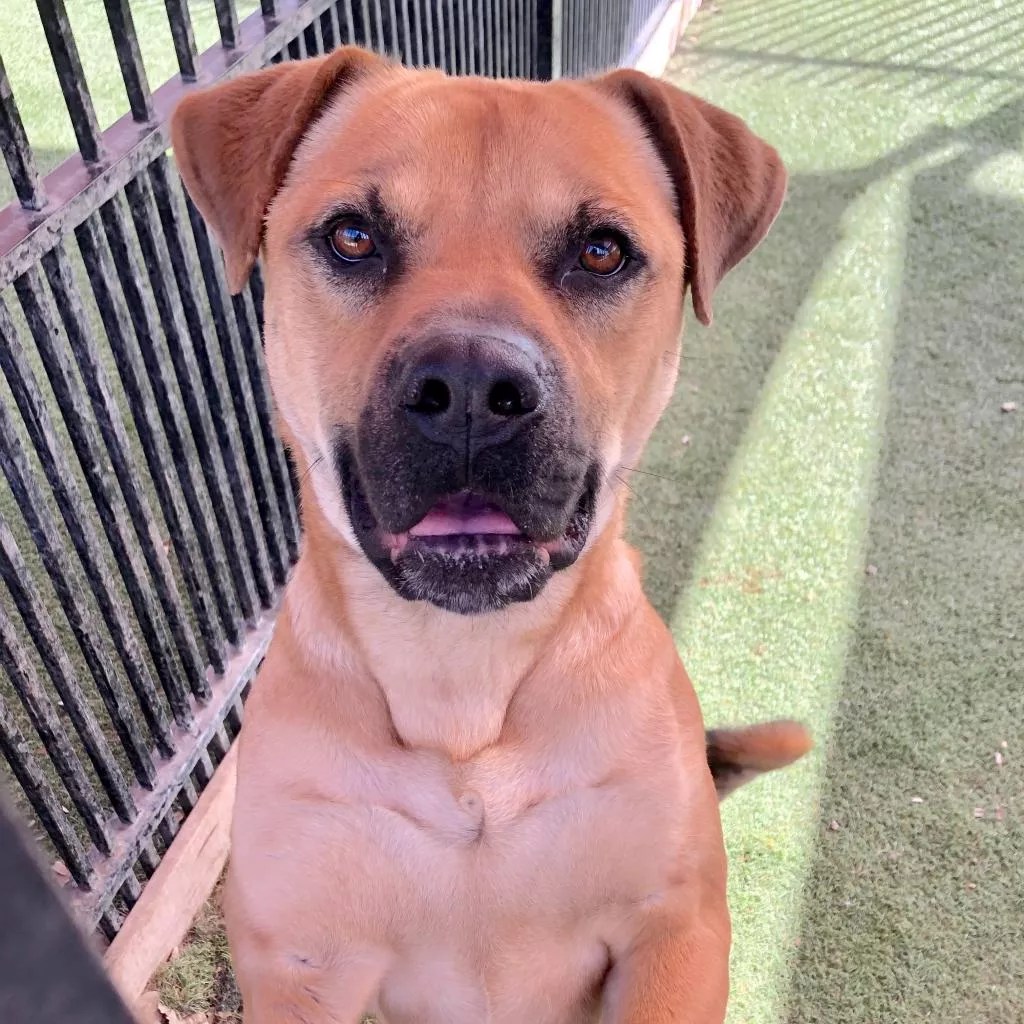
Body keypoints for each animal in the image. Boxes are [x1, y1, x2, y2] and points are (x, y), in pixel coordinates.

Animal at [171, 46, 810, 1024]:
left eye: (601, 251)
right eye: (352, 236)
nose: (470, 389)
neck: (463, 685)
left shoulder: (676, 935)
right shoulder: (303, 967)